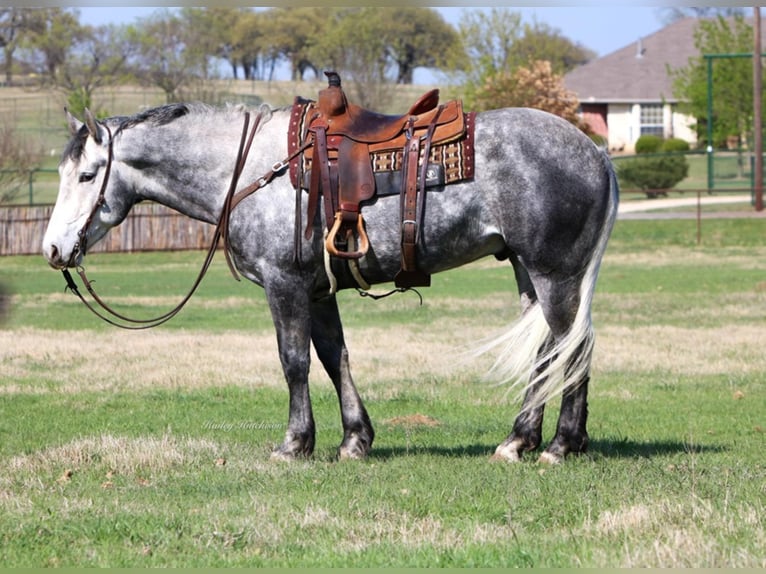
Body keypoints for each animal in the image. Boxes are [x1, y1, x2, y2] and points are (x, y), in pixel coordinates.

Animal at [42, 102, 620, 464]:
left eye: (88, 175)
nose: (52, 249)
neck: (251, 171)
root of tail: (595, 152)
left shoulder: (285, 285)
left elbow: (294, 361)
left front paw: (295, 443)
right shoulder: (318, 292)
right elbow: (333, 356)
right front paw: (354, 440)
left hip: (555, 273)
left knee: (573, 345)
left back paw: (560, 445)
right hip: (529, 273)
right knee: (549, 349)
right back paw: (519, 441)